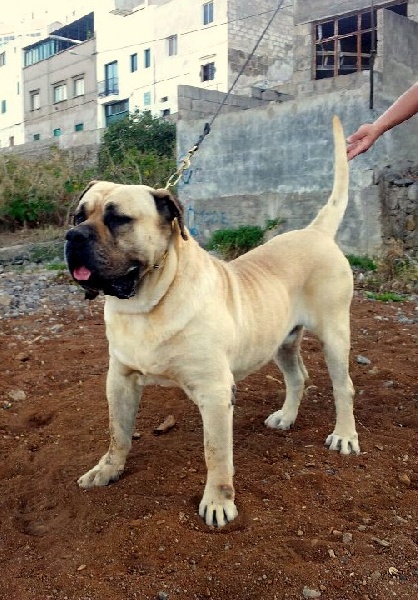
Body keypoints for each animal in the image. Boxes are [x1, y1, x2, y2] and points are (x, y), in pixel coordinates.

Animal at [66, 116, 360, 524]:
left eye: (119, 219)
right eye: (79, 215)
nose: (72, 235)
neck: (146, 304)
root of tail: (315, 232)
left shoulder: (215, 392)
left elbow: (216, 453)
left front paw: (219, 502)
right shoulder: (120, 380)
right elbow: (118, 432)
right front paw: (108, 469)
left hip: (334, 334)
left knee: (343, 387)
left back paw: (345, 435)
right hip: (282, 341)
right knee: (298, 377)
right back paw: (286, 417)